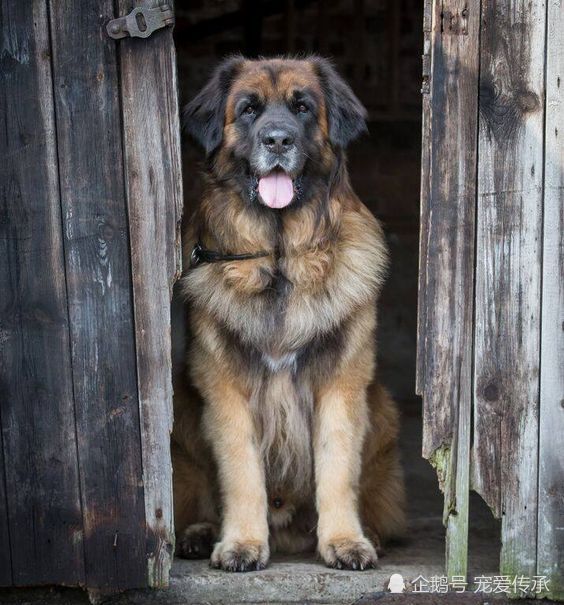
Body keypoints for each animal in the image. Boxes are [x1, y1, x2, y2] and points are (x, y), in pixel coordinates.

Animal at [173, 56, 406, 572]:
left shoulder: (340, 383)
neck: (280, 258)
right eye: (248, 110)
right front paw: (241, 542)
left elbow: (337, 468)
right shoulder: (226, 387)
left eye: (302, 108)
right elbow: (241, 472)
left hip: (381, 410)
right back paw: (198, 533)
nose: (277, 141)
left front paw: (344, 541)